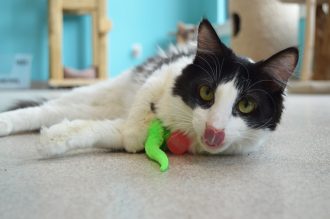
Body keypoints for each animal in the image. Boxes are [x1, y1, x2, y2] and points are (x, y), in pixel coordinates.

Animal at [0, 19, 298, 156]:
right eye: (206, 93)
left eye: (246, 105)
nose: (214, 130)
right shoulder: (161, 74)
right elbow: (143, 106)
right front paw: (136, 132)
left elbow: (98, 132)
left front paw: (53, 140)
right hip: (97, 92)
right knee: (43, 108)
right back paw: (7, 122)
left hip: (95, 106)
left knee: (59, 112)